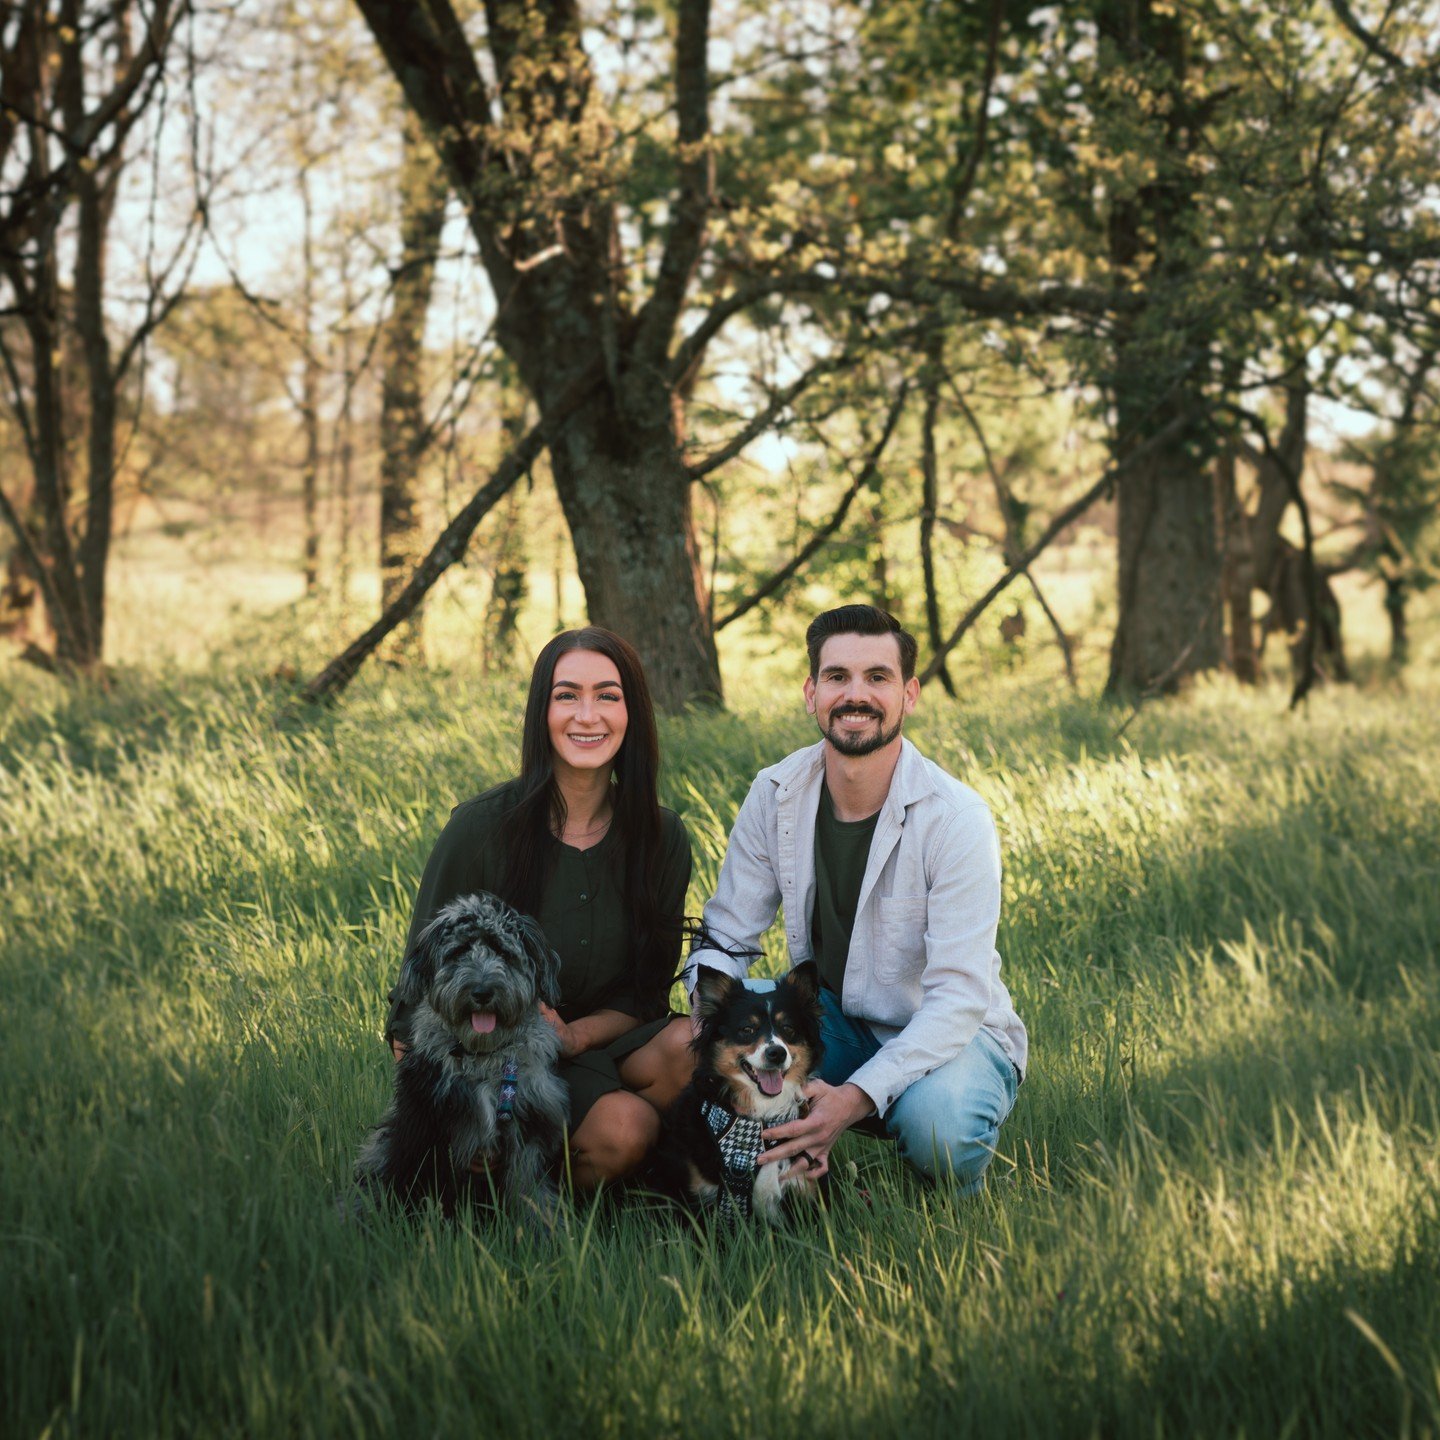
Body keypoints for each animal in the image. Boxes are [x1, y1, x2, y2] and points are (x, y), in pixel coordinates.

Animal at [354, 887, 567, 1215]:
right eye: (459, 951)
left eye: (503, 952)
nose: (482, 992)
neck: (482, 1058)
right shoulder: (422, 1122)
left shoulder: (530, 1128)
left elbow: (531, 1193)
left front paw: (542, 1226)